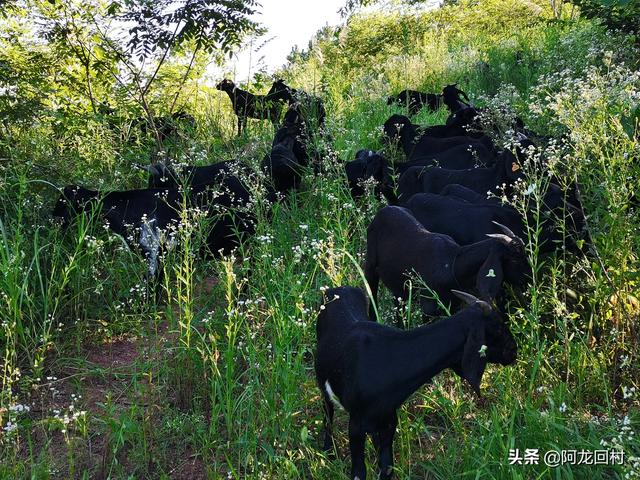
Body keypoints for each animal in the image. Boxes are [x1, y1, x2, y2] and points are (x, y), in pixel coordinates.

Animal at [318, 286, 516, 478]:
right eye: (498, 328)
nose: (514, 351)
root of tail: (336, 289)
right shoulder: (356, 425)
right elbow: (359, 473)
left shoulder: (389, 418)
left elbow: (387, 467)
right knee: (327, 411)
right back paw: (328, 451)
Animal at [364, 205, 524, 316]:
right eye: (515, 259)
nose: (527, 279)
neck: (452, 262)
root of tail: (384, 210)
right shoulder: (428, 308)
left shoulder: (454, 305)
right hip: (370, 268)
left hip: (399, 291)